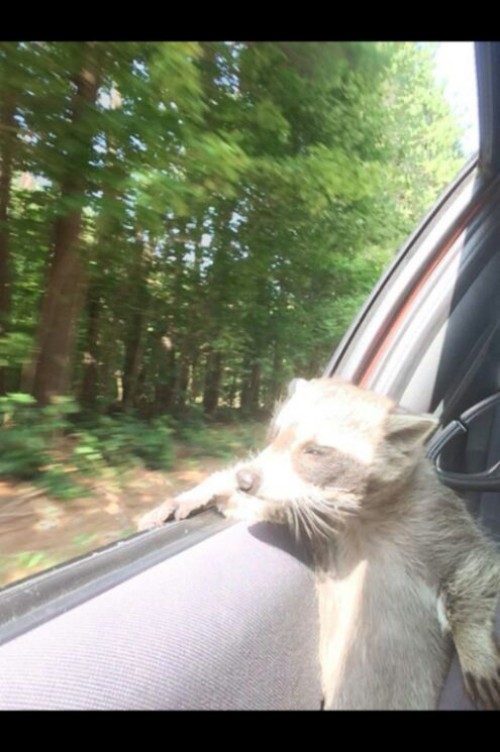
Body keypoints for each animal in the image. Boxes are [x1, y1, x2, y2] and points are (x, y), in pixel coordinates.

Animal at [138, 377, 500, 709]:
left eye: (314, 451)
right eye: (275, 434)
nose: (246, 479)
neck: (362, 514)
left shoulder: (435, 516)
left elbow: (475, 566)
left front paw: (474, 641)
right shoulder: (319, 522)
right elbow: (263, 504)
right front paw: (211, 487)